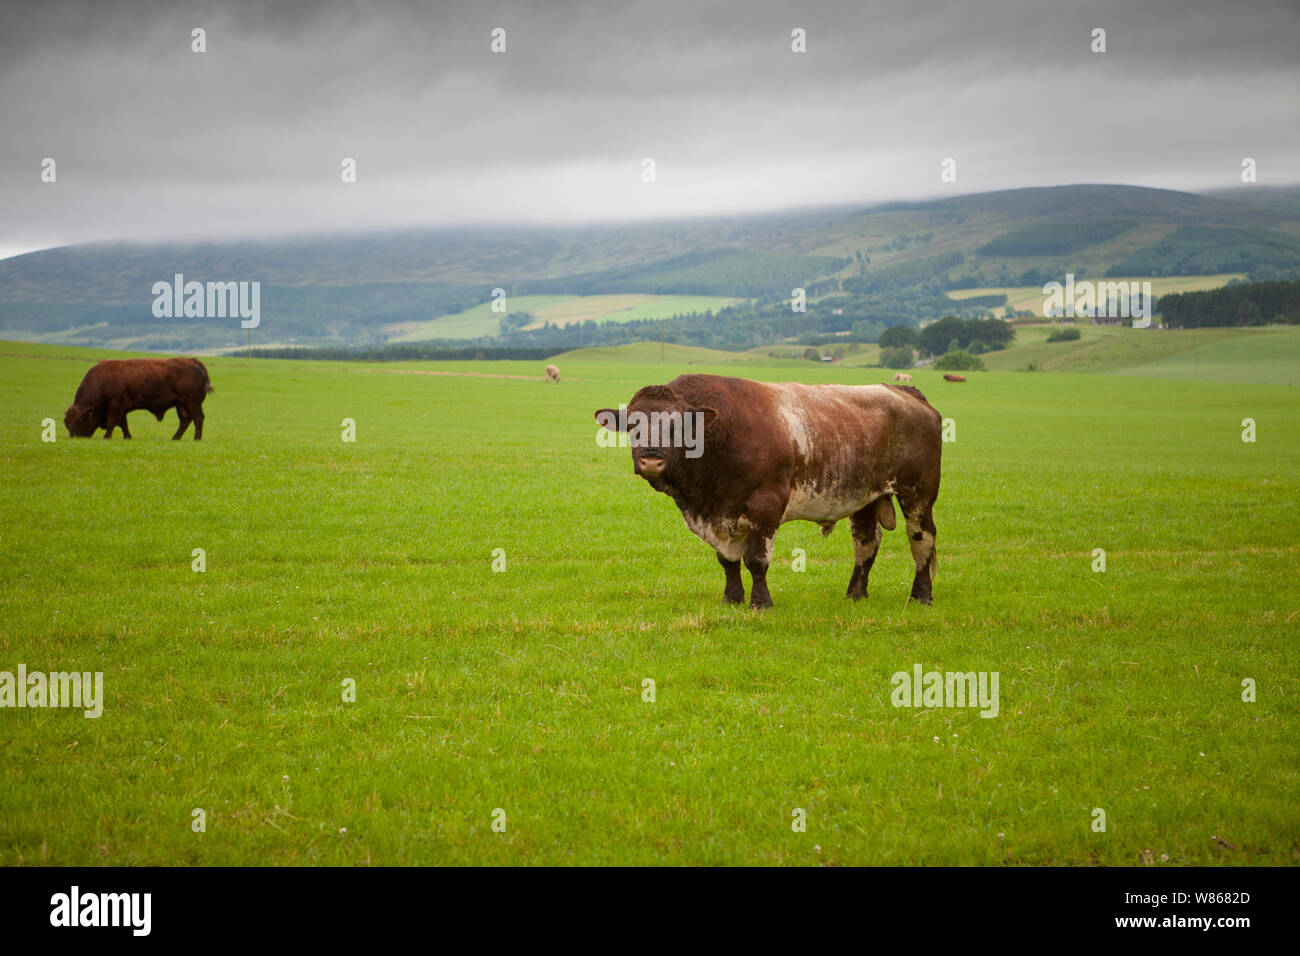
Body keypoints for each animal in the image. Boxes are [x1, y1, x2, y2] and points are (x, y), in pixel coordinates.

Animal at [64, 356, 213, 439]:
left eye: (78, 421)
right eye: (66, 423)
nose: (75, 437)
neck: (101, 380)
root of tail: (194, 362)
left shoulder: (116, 405)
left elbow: (112, 421)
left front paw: (107, 437)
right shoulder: (121, 408)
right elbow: (123, 423)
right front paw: (127, 437)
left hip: (192, 403)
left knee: (198, 419)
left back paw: (196, 439)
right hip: (181, 404)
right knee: (185, 420)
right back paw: (175, 438)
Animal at [595, 371, 941, 606]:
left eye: (677, 426)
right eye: (632, 426)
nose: (651, 461)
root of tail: (905, 392)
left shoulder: (766, 504)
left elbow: (756, 559)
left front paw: (760, 602)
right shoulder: (723, 512)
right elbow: (728, 560)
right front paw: (732, 598)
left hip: (918, 493)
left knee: (921, 538)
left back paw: (921, 595)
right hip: (865, 499)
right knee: (866, 544)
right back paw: (855, 594)